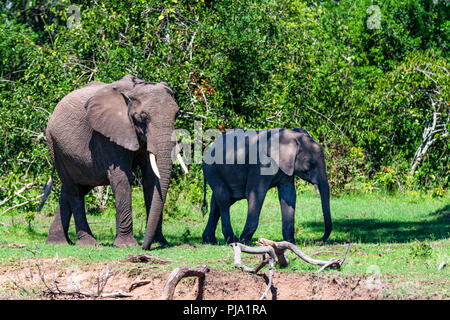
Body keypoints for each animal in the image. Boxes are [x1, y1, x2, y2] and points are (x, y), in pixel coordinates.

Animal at [38, 75, 186, 250]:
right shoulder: (109, 134)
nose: (144, 247)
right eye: (143, 117)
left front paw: (160, 242)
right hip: (55, 146)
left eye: (176, 115)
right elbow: (122, 178)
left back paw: (57, 242)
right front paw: (127, 245)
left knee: (71, 190)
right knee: (74, 190)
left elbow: (151, 179)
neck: (133, 91)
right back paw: (89, 244)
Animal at [202, 127, 332, 245]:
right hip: (212, 170)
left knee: (218, 203)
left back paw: (209, 241)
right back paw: (233, 240)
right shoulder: (261, 164)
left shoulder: (286, 167)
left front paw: (290, 242)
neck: (291, 135)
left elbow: (289, 195)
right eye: (311, 163)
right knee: (224, 199)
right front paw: (245, 241)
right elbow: (256, 194)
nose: (319, 241)